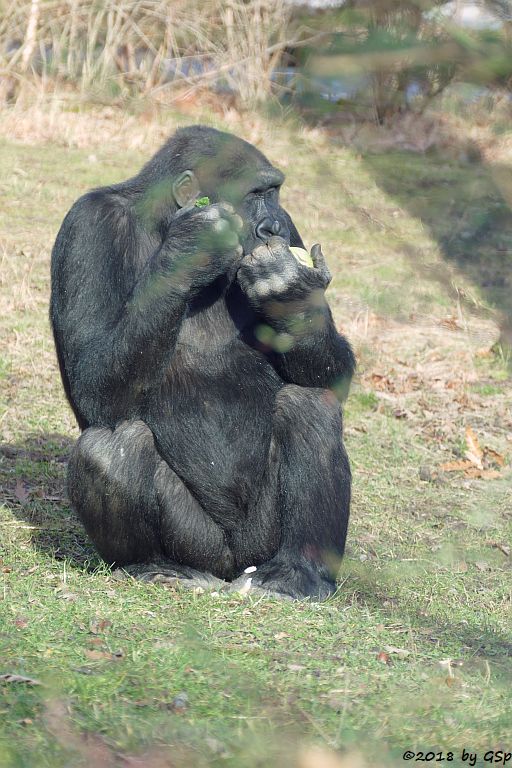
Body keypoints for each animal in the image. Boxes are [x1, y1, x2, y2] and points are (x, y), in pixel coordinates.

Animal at [52, 124, 356, 600]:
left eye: (275, 193)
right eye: (255, 194)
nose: (272, 225)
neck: (158, 219)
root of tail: (231, 568)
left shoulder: (294, 233)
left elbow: (335, 375)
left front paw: (290, 296)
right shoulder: (88, 225)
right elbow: (93, 384)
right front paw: (189, 249)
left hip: (260, 544)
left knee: (311, 406)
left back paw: (299, 570)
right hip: (201, 546)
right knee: (111, 447)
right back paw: (153, 565)